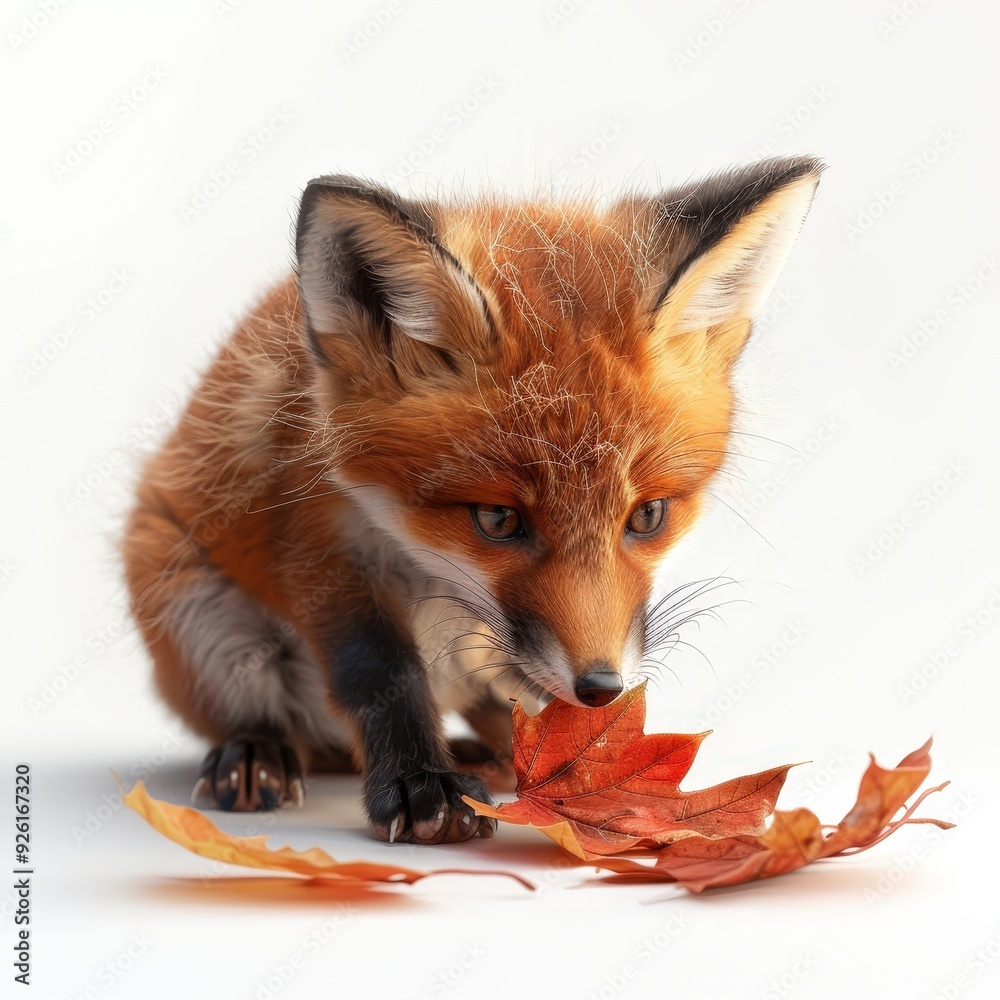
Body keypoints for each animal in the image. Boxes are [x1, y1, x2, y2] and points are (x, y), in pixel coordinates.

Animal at [122, 155, 823, 845]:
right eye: (498, 519)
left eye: (647, 516)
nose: (601, 688)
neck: (425, 565)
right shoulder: (321, 544)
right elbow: (380, 674)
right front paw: (420, 781)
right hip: (201, 612)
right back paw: (254, 753)